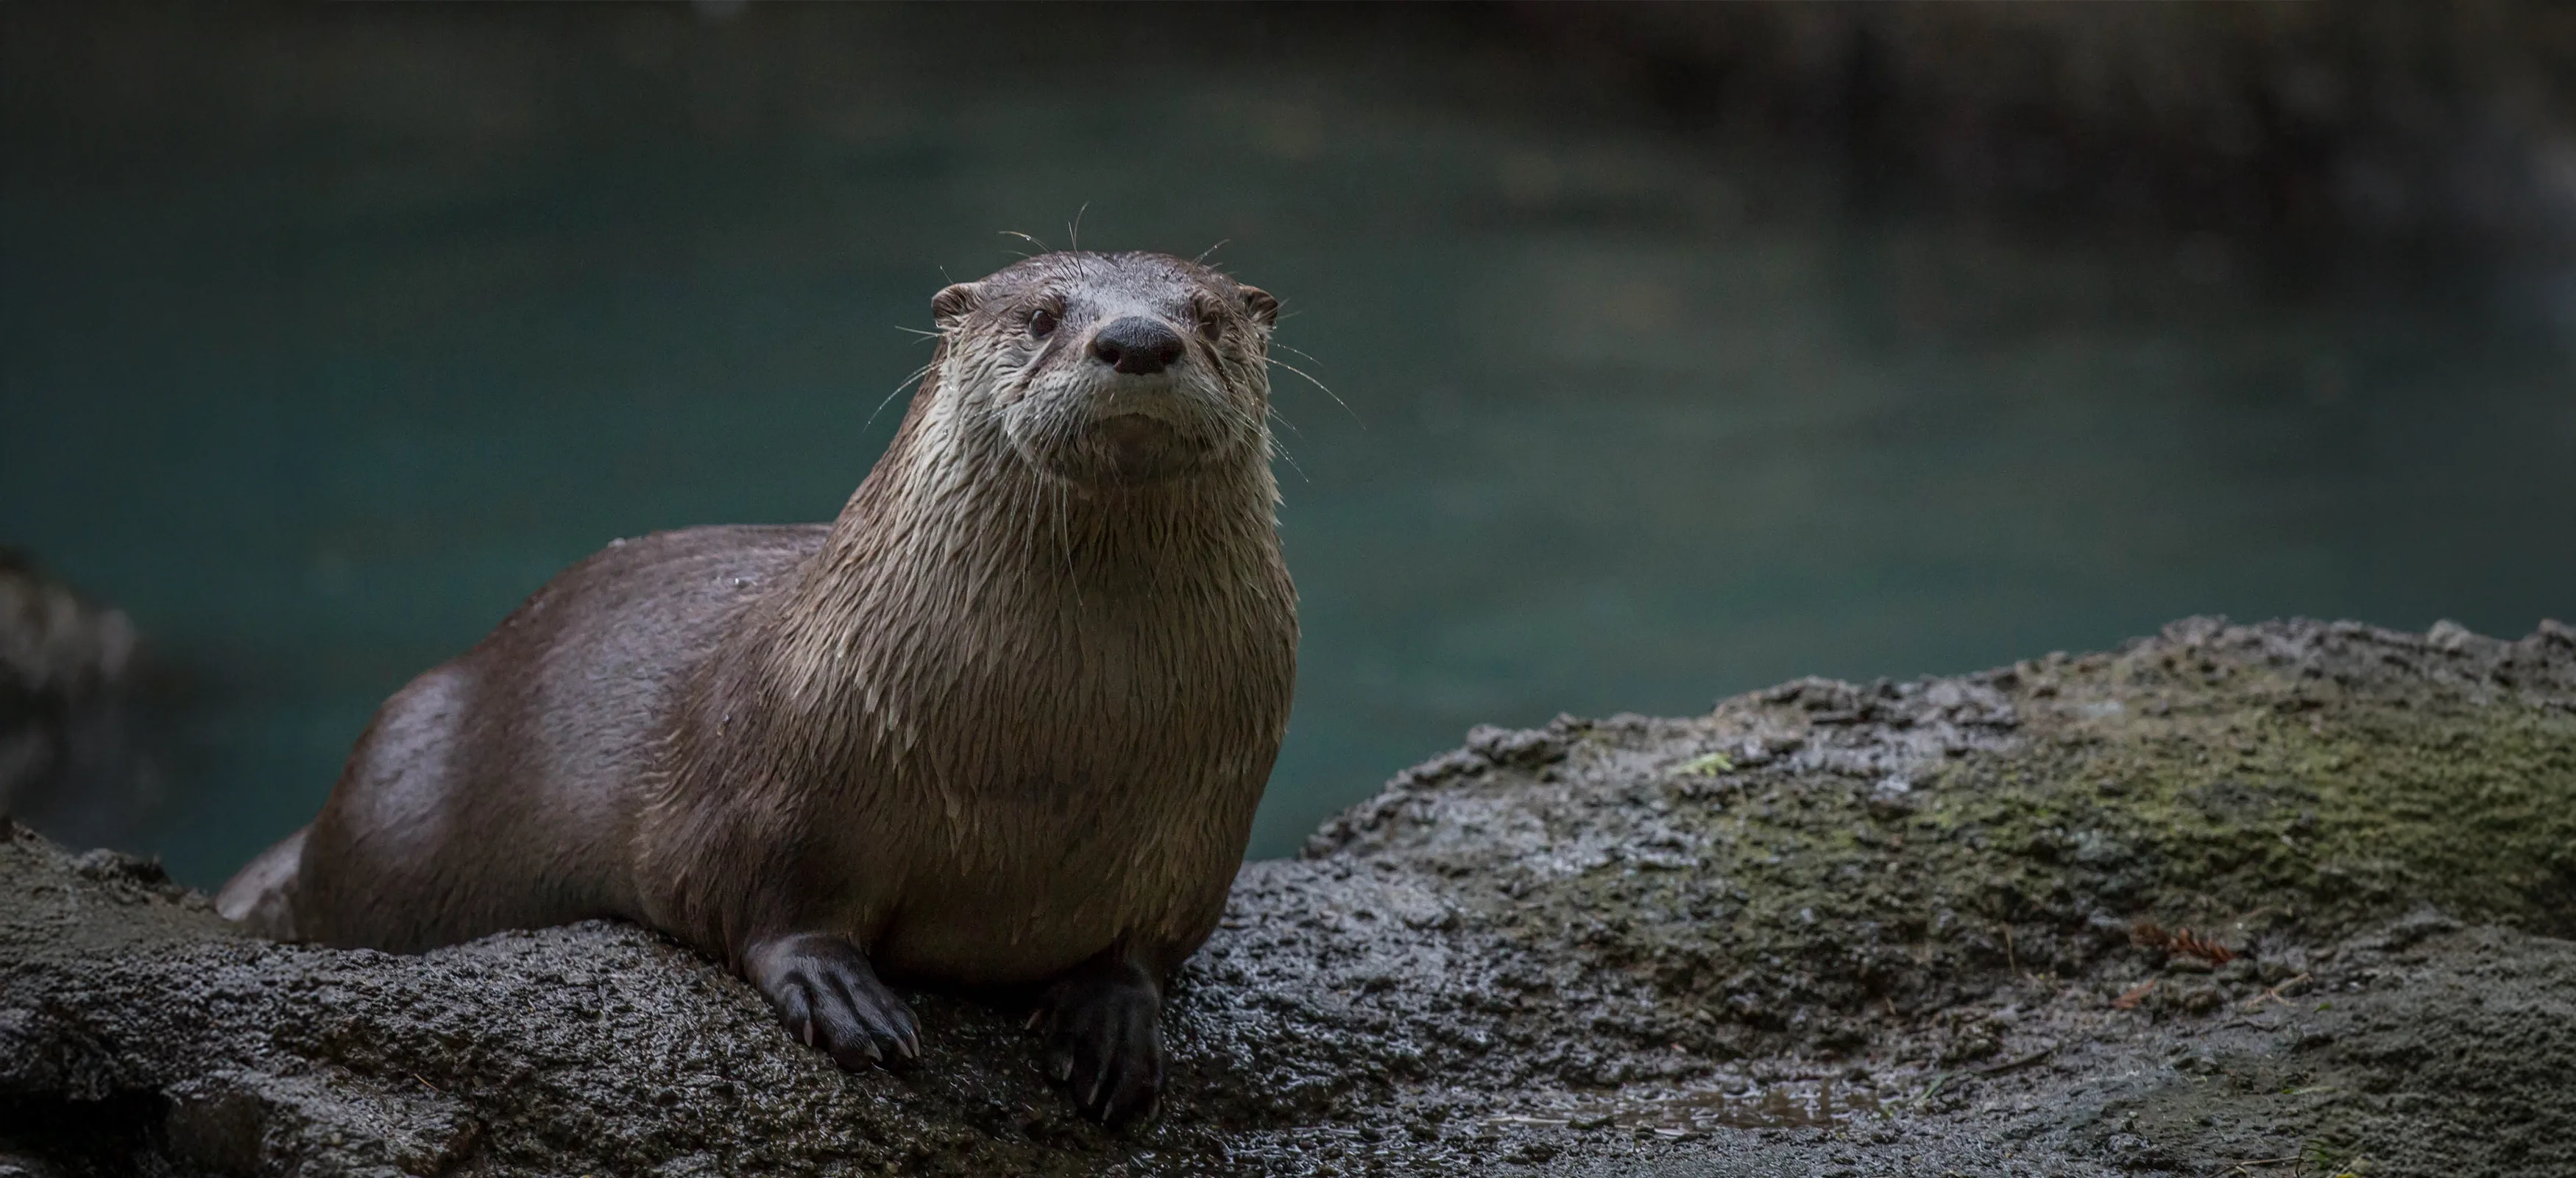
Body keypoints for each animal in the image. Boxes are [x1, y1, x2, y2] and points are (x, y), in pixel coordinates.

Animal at [216, 251, 1296, 1124]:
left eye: (1207, 315)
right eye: (1041, 314)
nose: (1139, 339)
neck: (1052, 756)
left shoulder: (1204, 825)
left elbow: (1147, 946)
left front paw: (1113, 1023)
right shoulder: (777, 780)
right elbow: (759, 900)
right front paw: (841, 997)